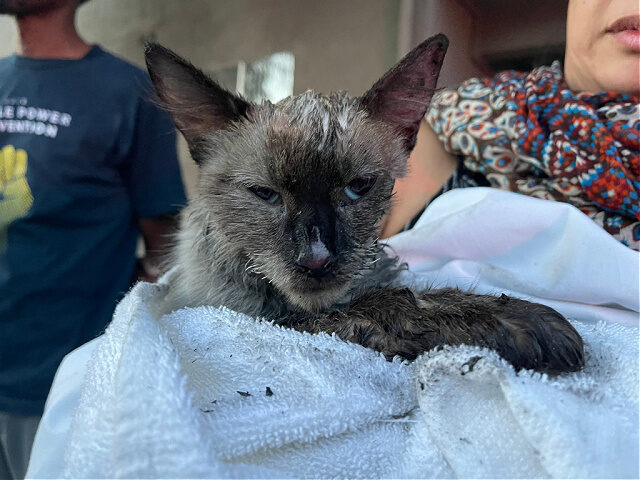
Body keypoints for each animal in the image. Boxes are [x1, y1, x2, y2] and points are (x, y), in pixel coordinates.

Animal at [145, 35, 584, 374]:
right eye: (265, 194)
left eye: (357, 187)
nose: (315, 259)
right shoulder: (257, 318)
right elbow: (387, 302)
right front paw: (518, 322)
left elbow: (387, 293)